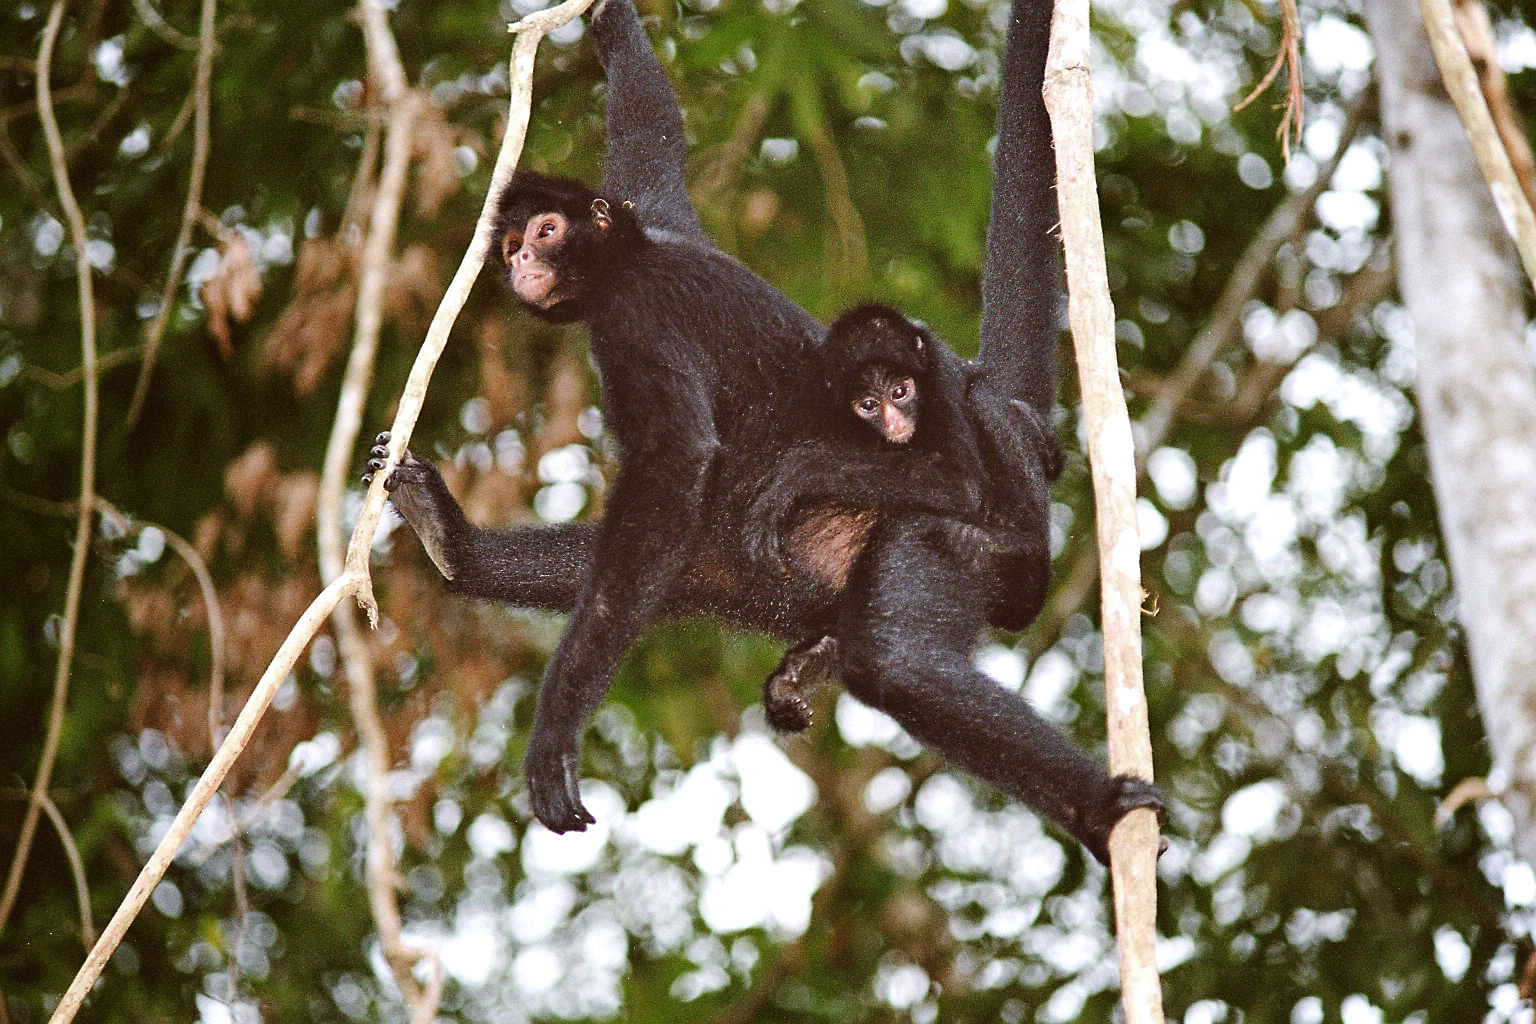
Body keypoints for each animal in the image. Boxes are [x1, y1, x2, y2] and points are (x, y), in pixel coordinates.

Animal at [368, 0, 1161, 865]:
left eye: (543, 234)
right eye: (512, 245)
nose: (519, 266)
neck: (632, 257)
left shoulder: (636, 312)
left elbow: (676, 463)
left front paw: (555, 734)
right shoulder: (661, 220)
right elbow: (653, 137)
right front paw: (613, 27)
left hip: (953, 535)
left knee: (893, 658)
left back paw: (1098, 809)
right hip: (743, 569)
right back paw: (454, 545)